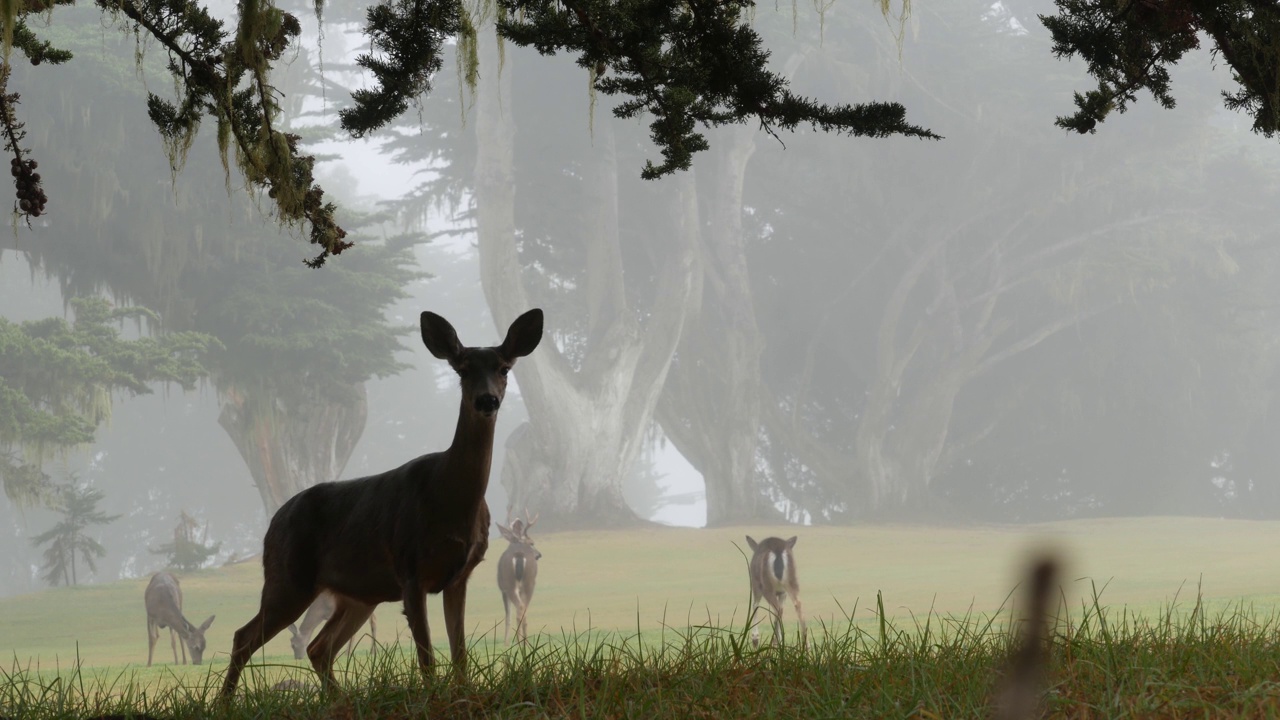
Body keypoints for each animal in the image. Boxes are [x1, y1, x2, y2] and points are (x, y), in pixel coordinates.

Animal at [494, 507, 540, 640]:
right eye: (531, 543)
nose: (539, 554)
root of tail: (519, 554)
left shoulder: (503, 590)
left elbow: (507, 618)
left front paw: (506, 642)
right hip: (529, 583)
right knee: (524, 609)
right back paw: (525, 641)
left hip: (509, 584)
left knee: (519, 609)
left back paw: (518, 641)